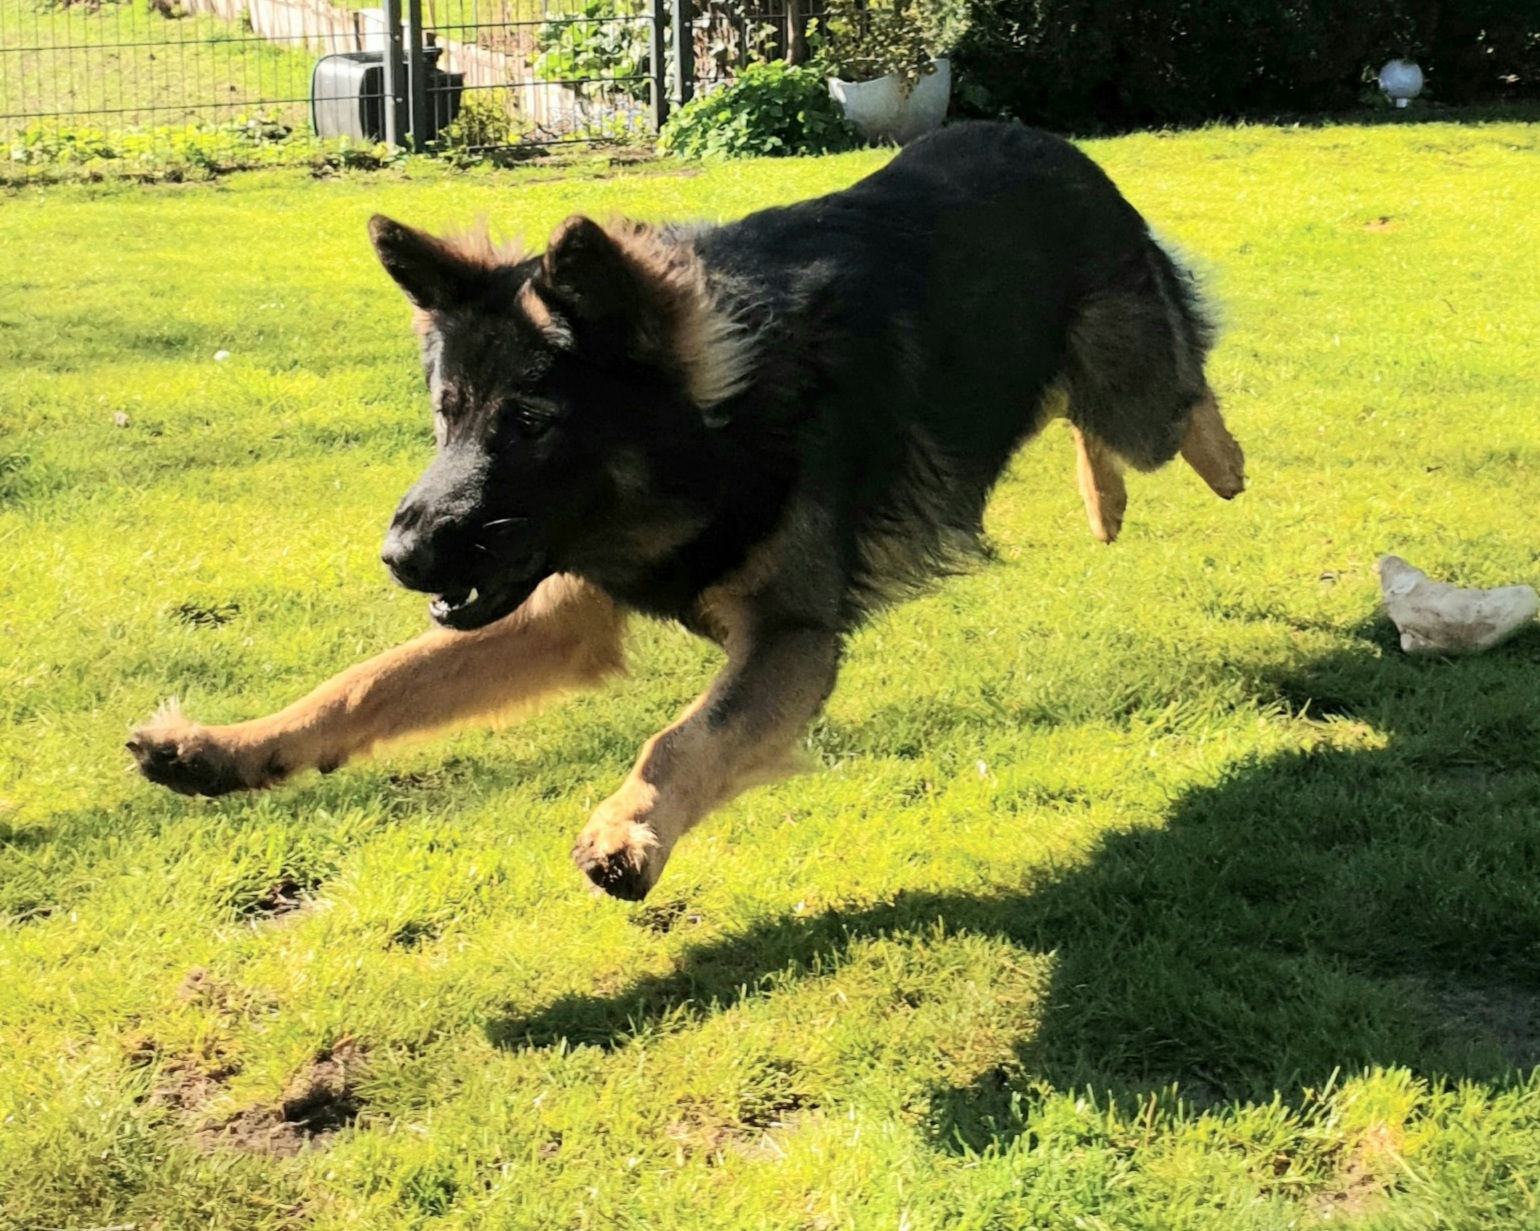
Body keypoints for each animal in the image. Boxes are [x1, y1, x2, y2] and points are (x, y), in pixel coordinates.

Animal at [128, 121, 1245, 901]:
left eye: (531, 421)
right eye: (447, 413)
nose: (399, 556)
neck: (714, 426)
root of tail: (1047, 139)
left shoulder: (792, 638)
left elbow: (679, 739)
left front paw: (631, 827)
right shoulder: (555, 607)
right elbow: (370, 682)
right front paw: (226, 746)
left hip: (1134, 385)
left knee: (1174, 397)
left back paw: (1216, 460)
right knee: (1075, 411)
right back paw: (1105, 503)